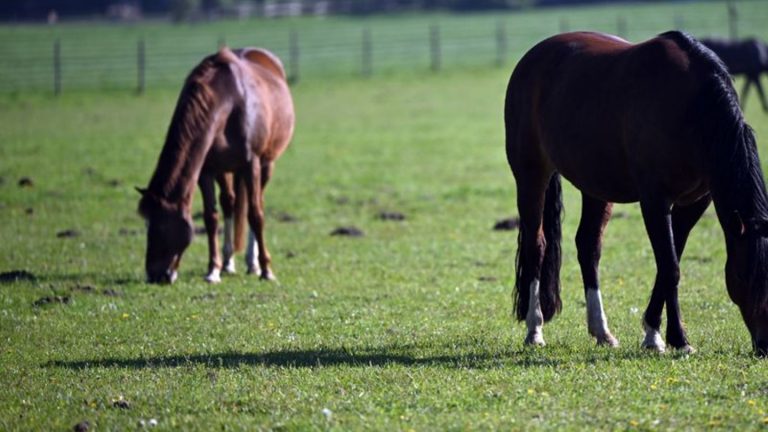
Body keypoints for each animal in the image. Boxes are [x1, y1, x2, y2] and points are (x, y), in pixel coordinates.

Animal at [138, 46, 294, 284]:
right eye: (147, 225)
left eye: (162, 226)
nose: (155, 275)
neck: (230, 100)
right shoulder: (206, 170)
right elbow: (211, 218)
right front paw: (213, 270)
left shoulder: (252, 164)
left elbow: (255, 214)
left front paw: (266, 270)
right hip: (225, 170)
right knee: (229, 202)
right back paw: (229, 263)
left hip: (266, 164)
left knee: (256, 203)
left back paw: (253, 263)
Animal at [504, 31, 768, 354]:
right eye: (743, 276)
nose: (764, 344)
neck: (692, 109)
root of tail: (532, 58)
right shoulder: (655, 201)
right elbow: (670, 267)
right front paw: (674, 339)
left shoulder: (694, 203)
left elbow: (669, 264)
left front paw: (657, 333)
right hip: (531, 175)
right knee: (536, 245)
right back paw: (535, 329)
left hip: (596, 185)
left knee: (588, 247)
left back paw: (602, 331)